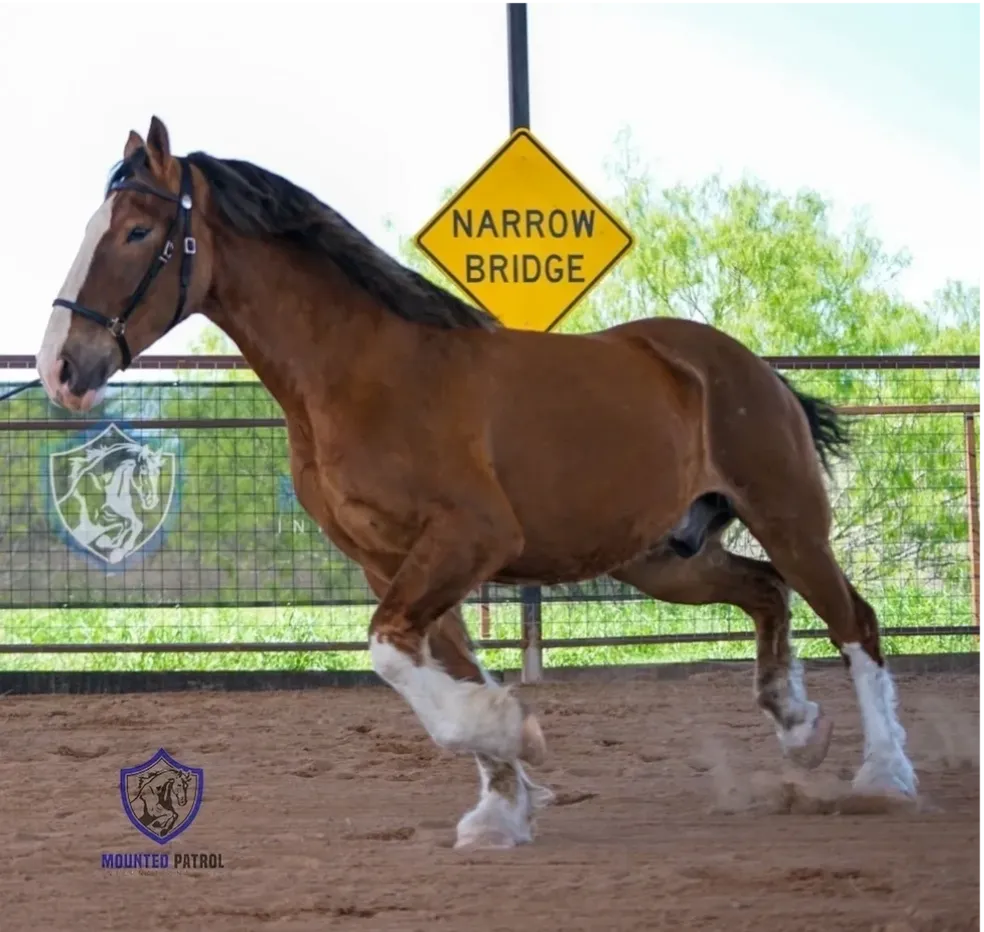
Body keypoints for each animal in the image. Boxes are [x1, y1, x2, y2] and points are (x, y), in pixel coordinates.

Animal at [36, 116, 918, 849]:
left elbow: (393, 655)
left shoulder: (469, 539)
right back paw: (799, 728)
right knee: (767, 591)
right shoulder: (394, 563)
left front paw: (512, 737)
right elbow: (438, 667)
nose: (62, 368)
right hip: (667, 558)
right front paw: (500, 803)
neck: (362, 373)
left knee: (856, 621)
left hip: (788, 517)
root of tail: (748, 368)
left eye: (138, 230)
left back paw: (884, 778)